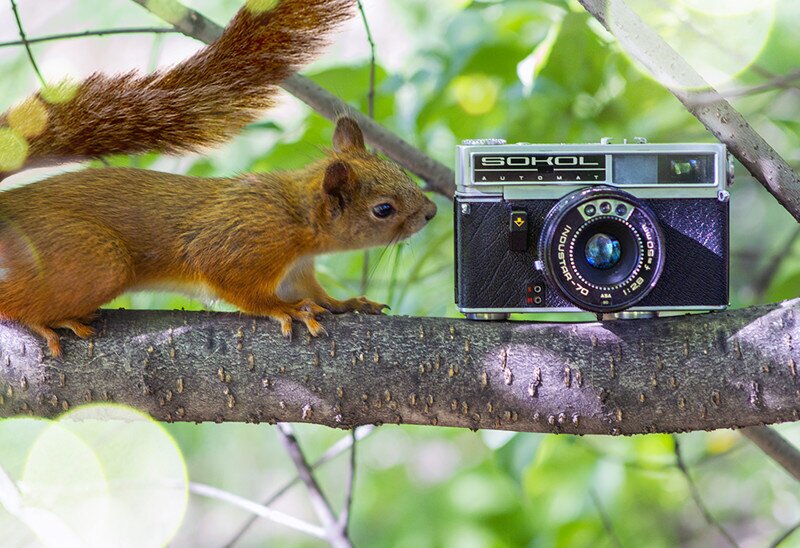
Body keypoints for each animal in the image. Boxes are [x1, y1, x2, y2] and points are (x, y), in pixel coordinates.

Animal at [0, 0, 438, 356]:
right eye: (384, 209)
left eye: (399, 169)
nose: (432, 212)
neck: (297, 218)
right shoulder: (247, 241)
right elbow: (233, 282)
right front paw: (285, 310)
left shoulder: (297, 269)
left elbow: (313, 292)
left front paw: (347, 304)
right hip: (92, 258)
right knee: (12, 301)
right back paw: (46, 319)